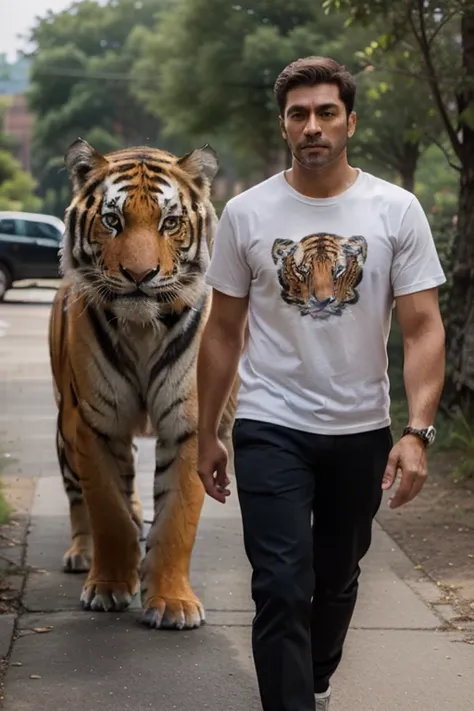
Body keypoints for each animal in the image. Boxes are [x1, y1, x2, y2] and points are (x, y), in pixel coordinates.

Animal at [48, 138, 237, 628]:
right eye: (112, 220)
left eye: (169, 222)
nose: (139, 276)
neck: (142, 330)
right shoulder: (93, 423)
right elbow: (107, 510)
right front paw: (109, 586)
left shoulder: (190, 423)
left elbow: (177, 518)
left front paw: (172, 603)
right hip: (63, 434)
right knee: (78, 500)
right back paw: (82, 553)